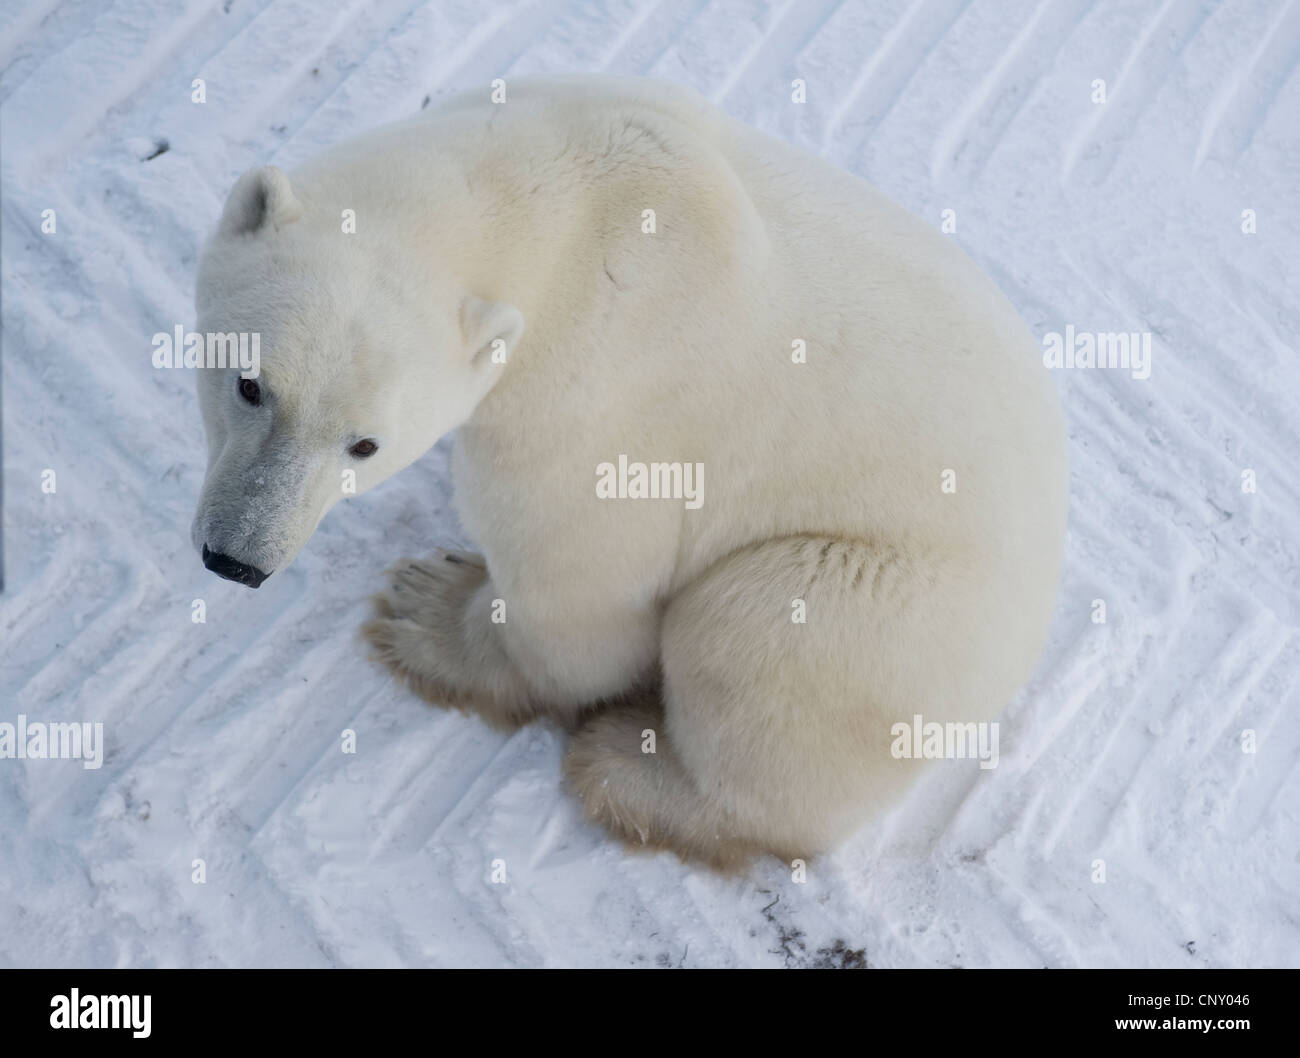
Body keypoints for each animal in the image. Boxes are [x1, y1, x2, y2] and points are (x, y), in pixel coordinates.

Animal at [192, 74, 1066, 868]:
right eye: (249, 384)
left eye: (364, 445)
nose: (238, 559)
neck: (569, 189)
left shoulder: (597, 384)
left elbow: (578, 581)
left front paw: (429, 609)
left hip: (892, 606)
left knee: (759, 637)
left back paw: (630, 766)